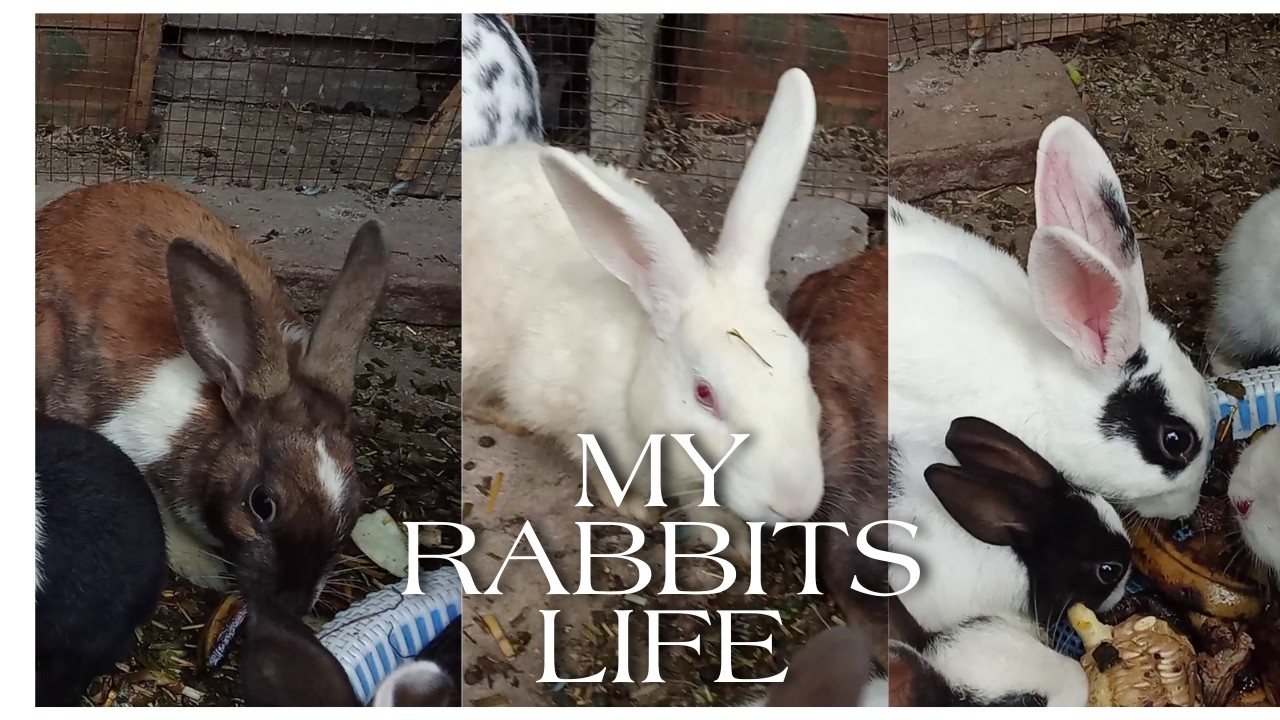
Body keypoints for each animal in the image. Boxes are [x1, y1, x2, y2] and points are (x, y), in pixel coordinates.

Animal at [460, 68, 825, 560]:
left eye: (804, 369)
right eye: (704, 394)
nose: (795, 503)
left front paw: (737, 543)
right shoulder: (567, 412)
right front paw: (634, 508)